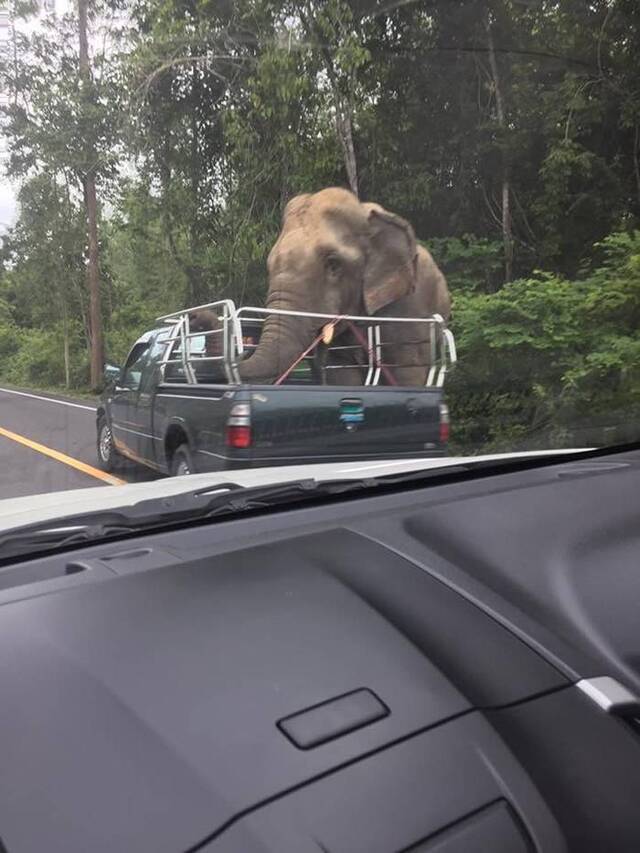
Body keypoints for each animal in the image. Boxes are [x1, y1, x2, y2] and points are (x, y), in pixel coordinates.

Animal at [238, 188, 452, 388]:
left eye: (333, 264)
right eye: (270, 265)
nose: (242, 349)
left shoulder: (409, 308)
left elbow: (408, 372)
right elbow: (342, 374)